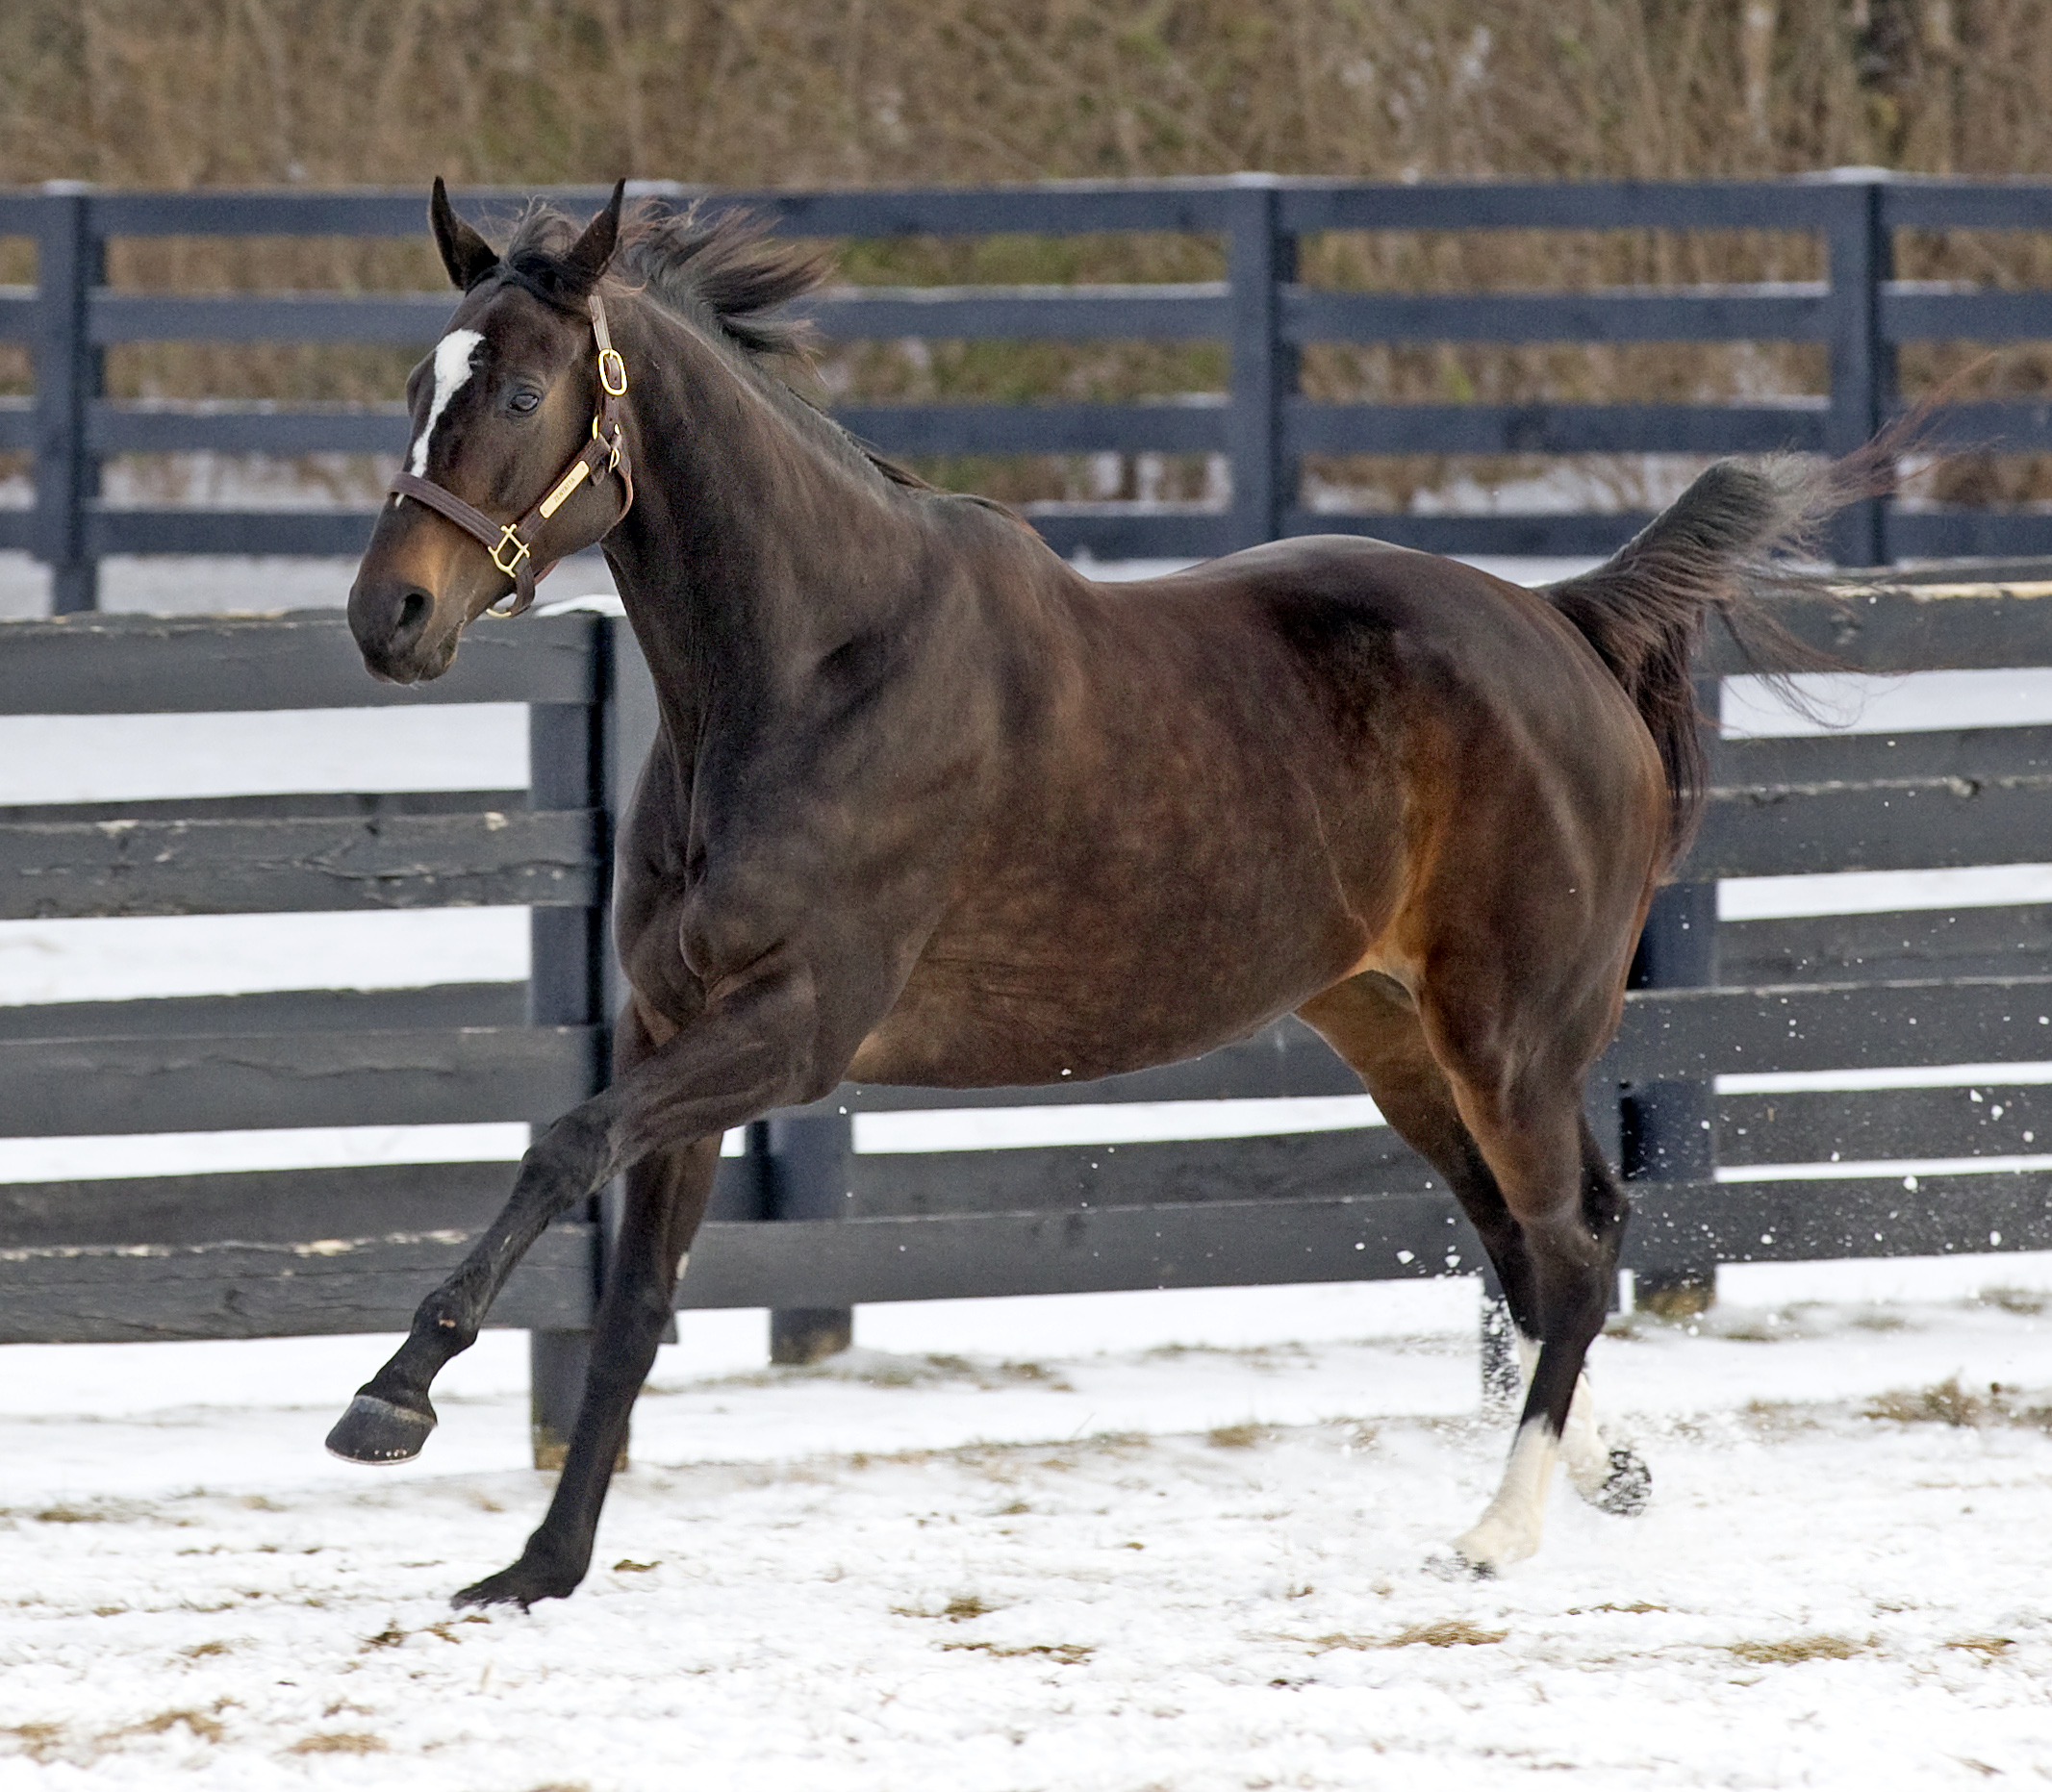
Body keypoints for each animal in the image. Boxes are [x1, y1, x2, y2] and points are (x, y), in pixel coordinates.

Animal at [335, 179, 1859, 1608]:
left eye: (520, 392)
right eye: (415, 387)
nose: (386, 617)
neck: (814, 671)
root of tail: (1565, 620)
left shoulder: (795, 1028)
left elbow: (562, 1144)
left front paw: (390, 1400)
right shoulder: (674, 1023)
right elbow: (634, 1304)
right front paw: (540, 1566)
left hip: (1509, 1034)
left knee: (1575, 1241)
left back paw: (1500, 1530)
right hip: (1395, 1032)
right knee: (1524, 1244)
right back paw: (1610, 1472)